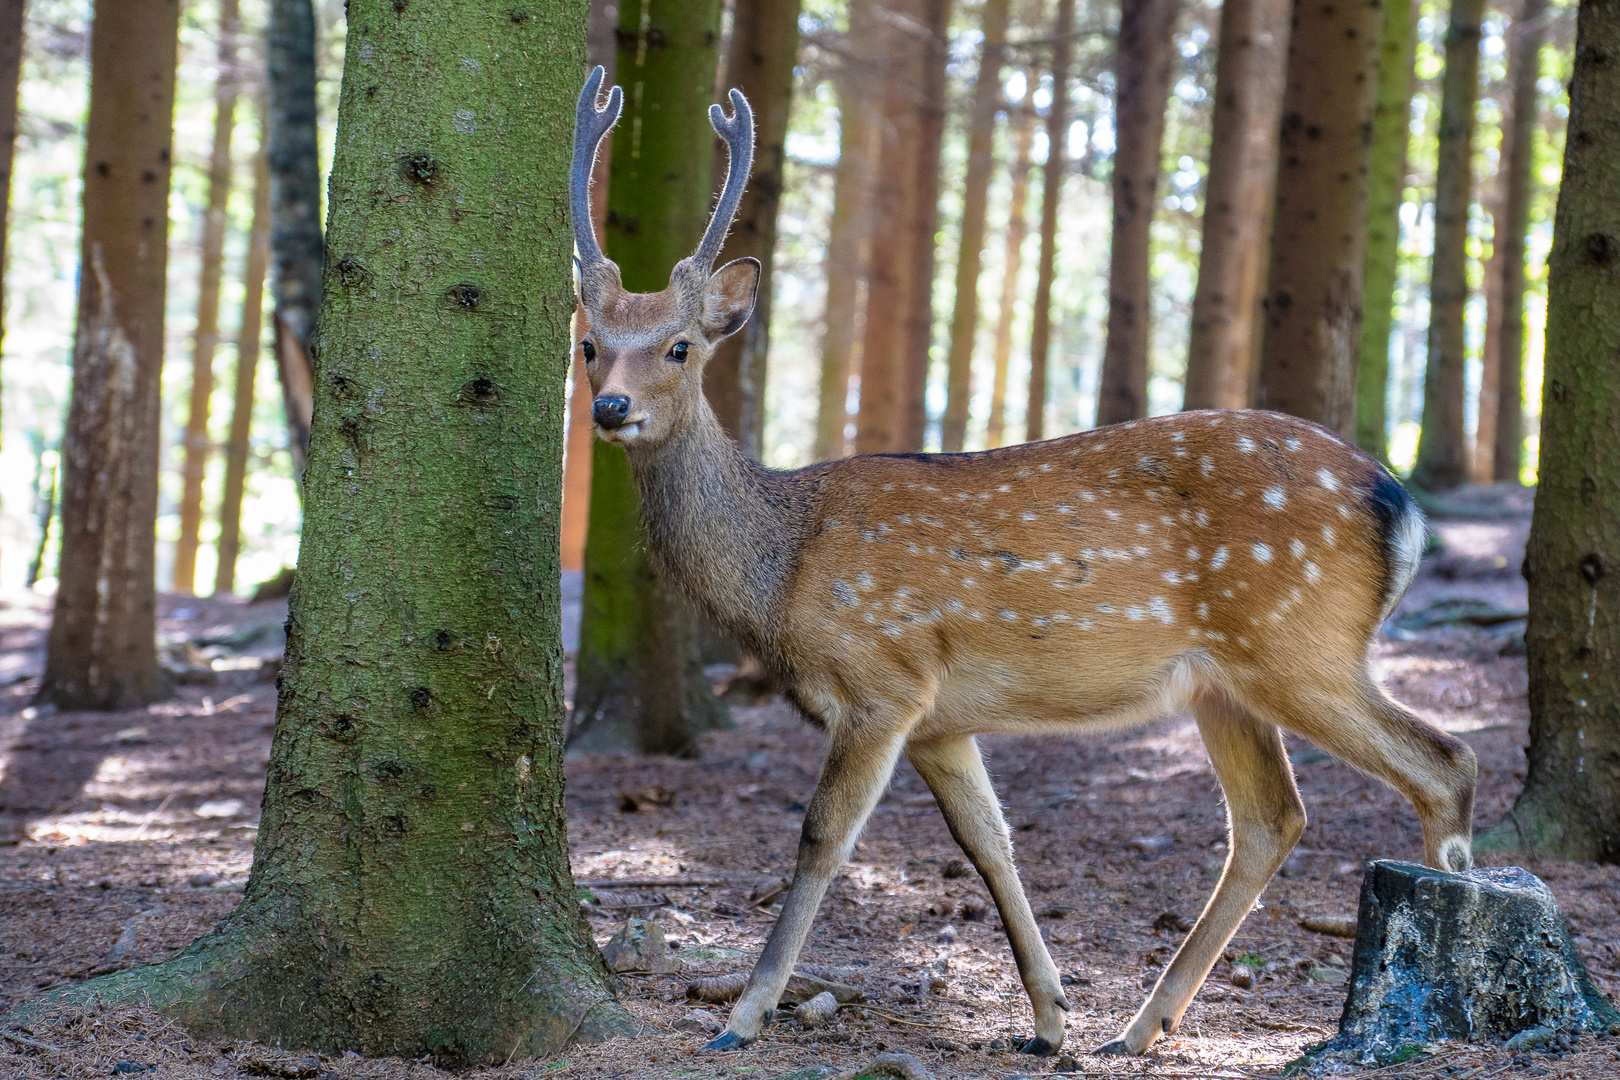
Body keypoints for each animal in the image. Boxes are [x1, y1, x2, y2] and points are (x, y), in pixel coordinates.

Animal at [570, 69, 1483, 1062]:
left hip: (1299, 642)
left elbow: (822, 839)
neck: (781, 571)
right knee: (1272, 817)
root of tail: (1401, 505)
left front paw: (741, 1016)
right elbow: (991, 842)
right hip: (1226, 680)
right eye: (589, 345)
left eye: (680, 346)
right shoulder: (939, 718)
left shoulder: (882, 678)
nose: (611, 407)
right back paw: (1140, 1026)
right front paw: (1049, 1019)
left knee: (1446, 761)